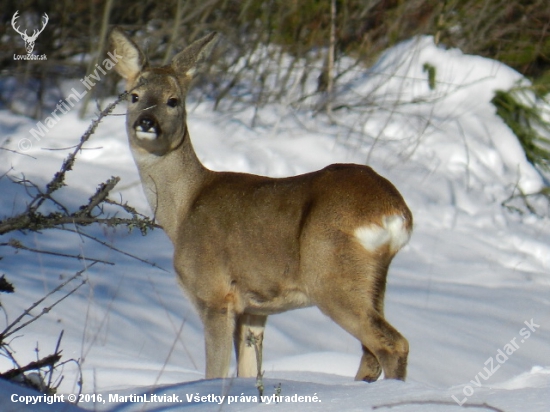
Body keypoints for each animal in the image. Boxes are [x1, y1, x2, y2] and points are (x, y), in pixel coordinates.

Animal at [111, 28, 414, 384]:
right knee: (371, 352)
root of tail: (394, 211)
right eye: (134, 95)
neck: (184, 210)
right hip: (373, 281)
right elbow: (247, 370)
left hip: (331, 274)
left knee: (392, 344)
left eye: (174, 100)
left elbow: (215, 372)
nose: (146, 122)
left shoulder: (214, 292)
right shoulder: (255, 308)